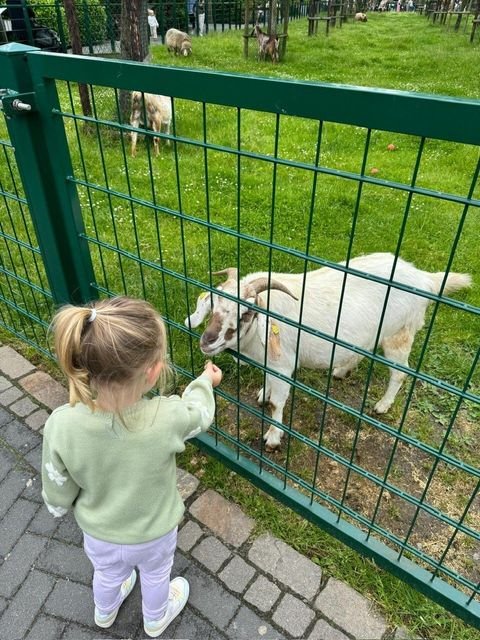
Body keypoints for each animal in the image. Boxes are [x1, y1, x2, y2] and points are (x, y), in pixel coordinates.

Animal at [186, 254, 470, 450]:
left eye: (246, 313)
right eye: (213, 304)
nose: (207, 341)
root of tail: (426, 279)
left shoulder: (284, 365)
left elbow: (278, 403)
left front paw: (273, 437)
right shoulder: (272, 363)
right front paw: (263, 393)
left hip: (398, 334)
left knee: (400, 373)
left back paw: (382, 405)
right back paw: (342, 370)